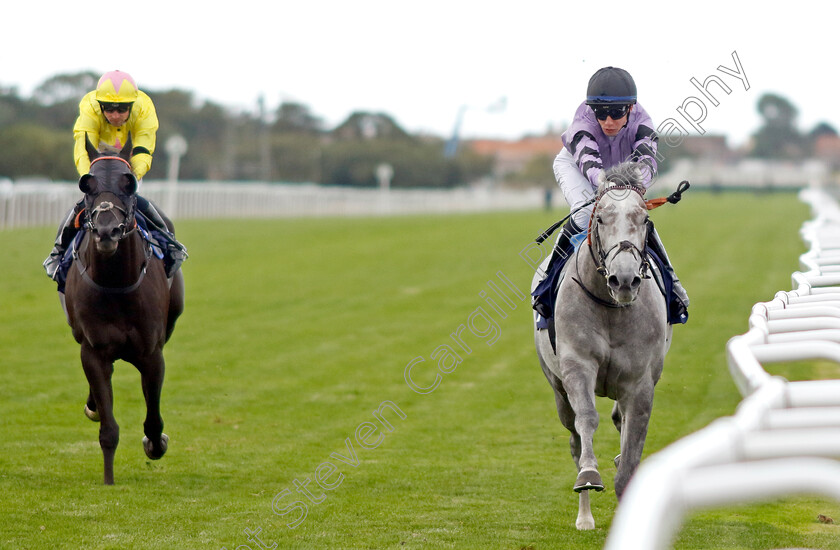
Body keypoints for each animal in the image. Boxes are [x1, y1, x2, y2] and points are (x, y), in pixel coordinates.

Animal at [65, 138, 185, 488]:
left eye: (128, 184)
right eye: (87, 185)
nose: (107, 231)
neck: (116, 284)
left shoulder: (152, 354)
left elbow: (154, 418)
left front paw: (156, 444)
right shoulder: (93, 351)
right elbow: (108, 428)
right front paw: (108, 479)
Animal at [536, 162, 672, 532]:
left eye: (644, 218)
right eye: (600, 219)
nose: (623, 279)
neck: (612, 306)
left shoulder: (641, 383)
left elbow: (632, 443)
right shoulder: (577, 366)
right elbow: (587, 420)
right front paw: (589, 475)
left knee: (618, 420)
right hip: (556, 389)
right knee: (574, 437)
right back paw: (584, 516)